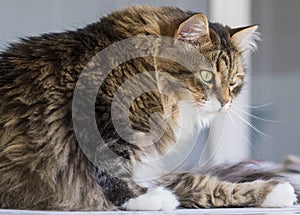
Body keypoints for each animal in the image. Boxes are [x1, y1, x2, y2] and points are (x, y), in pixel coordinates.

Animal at [0, 5, 296, 212]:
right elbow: (109, 171)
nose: (225, 102)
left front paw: (275, 191)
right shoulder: (96, 119)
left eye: (233, 81)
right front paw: (146, 199)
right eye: (206, 76)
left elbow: (203, 183)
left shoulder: (149, 166)